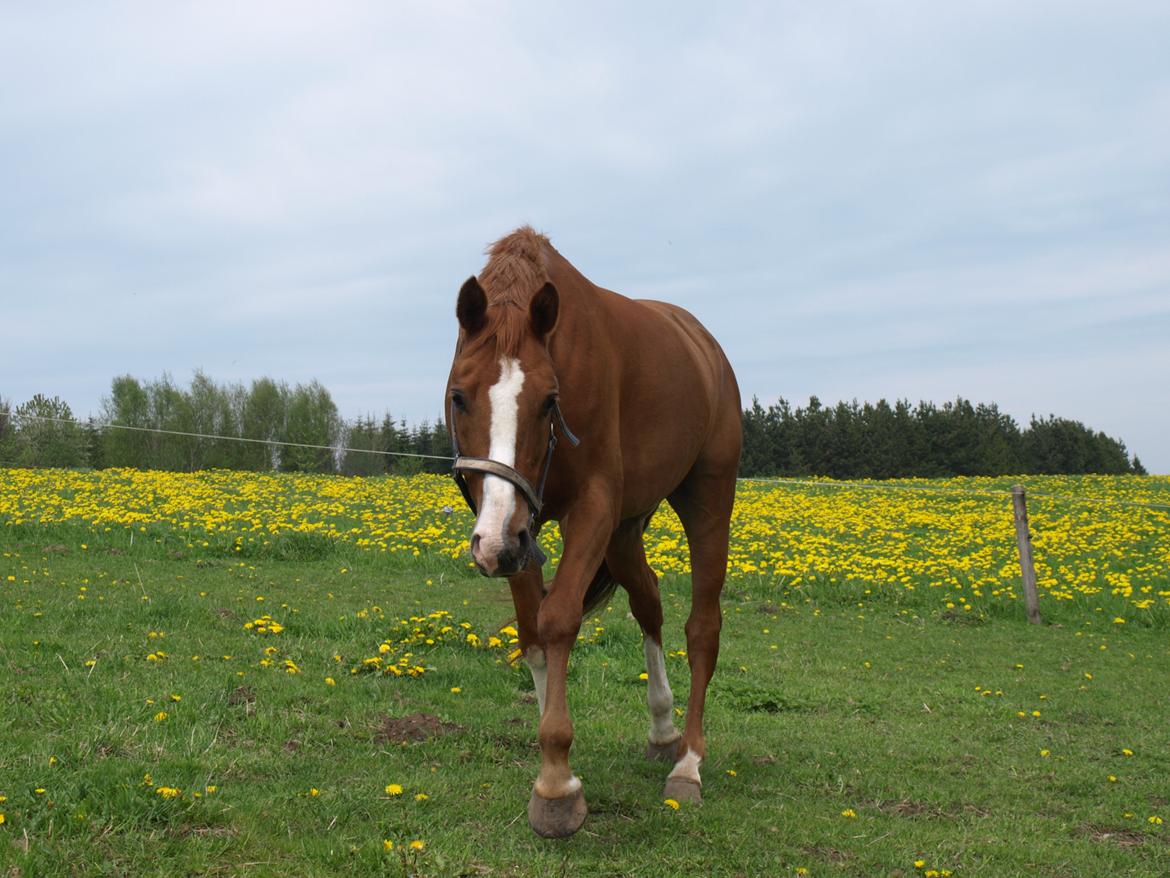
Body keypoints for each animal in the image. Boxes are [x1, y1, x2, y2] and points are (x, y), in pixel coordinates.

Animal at [444, 226, 741, 838]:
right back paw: (662, 730)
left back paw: (688, 763)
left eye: (548, 401)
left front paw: (557, 783)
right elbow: (532, 634)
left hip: (707, 498)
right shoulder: (521, 527)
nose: (495, 543)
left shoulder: (591, 509)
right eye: (460, 395)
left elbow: (558, 619)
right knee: (648, 601)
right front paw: (551, 757)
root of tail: (704, 344)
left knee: (702, 628)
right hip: (625, 532)